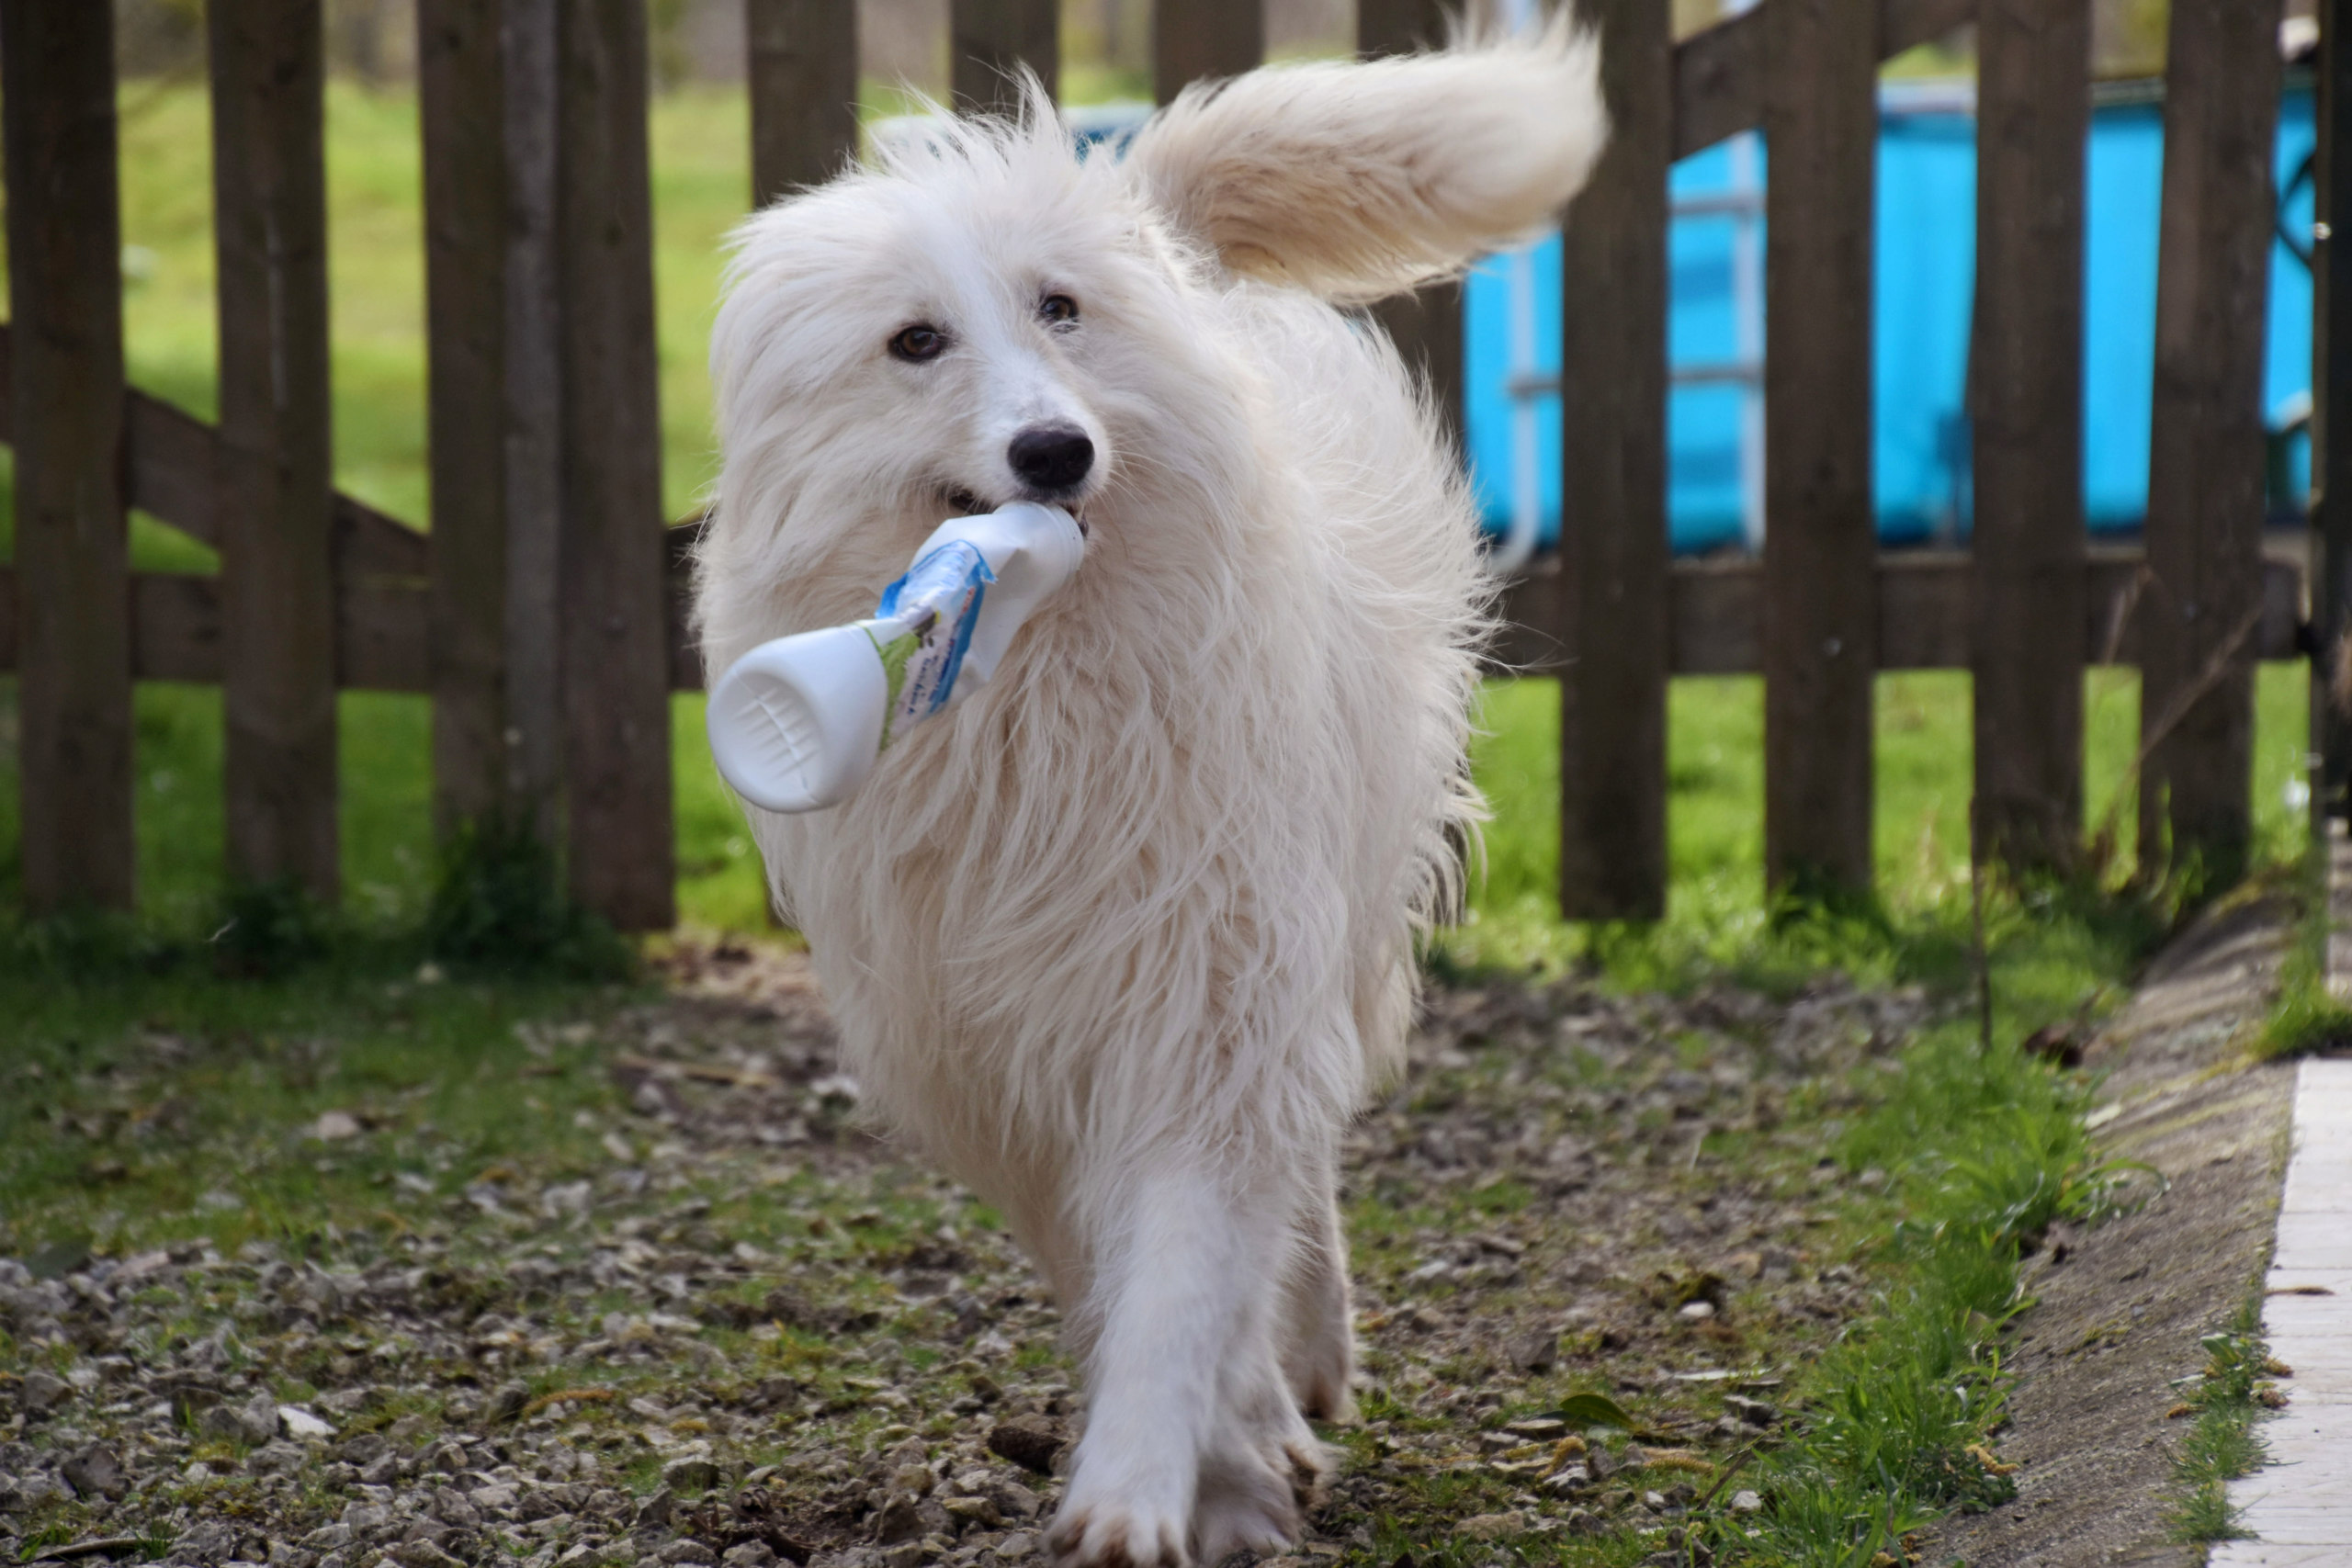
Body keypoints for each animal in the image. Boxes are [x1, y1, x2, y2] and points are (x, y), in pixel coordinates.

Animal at [695, 28, 1609, 1568]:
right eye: (915, 341)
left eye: (1058, 311)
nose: (1056, 452)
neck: (1042, 684)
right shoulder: (1002, 1058)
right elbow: (1116, 1274)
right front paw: (1220, 1463)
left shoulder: (1206, 1000)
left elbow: (1185, 1269)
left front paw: (1156, 1485)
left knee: (1302, 1176)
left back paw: (1309, 1357)